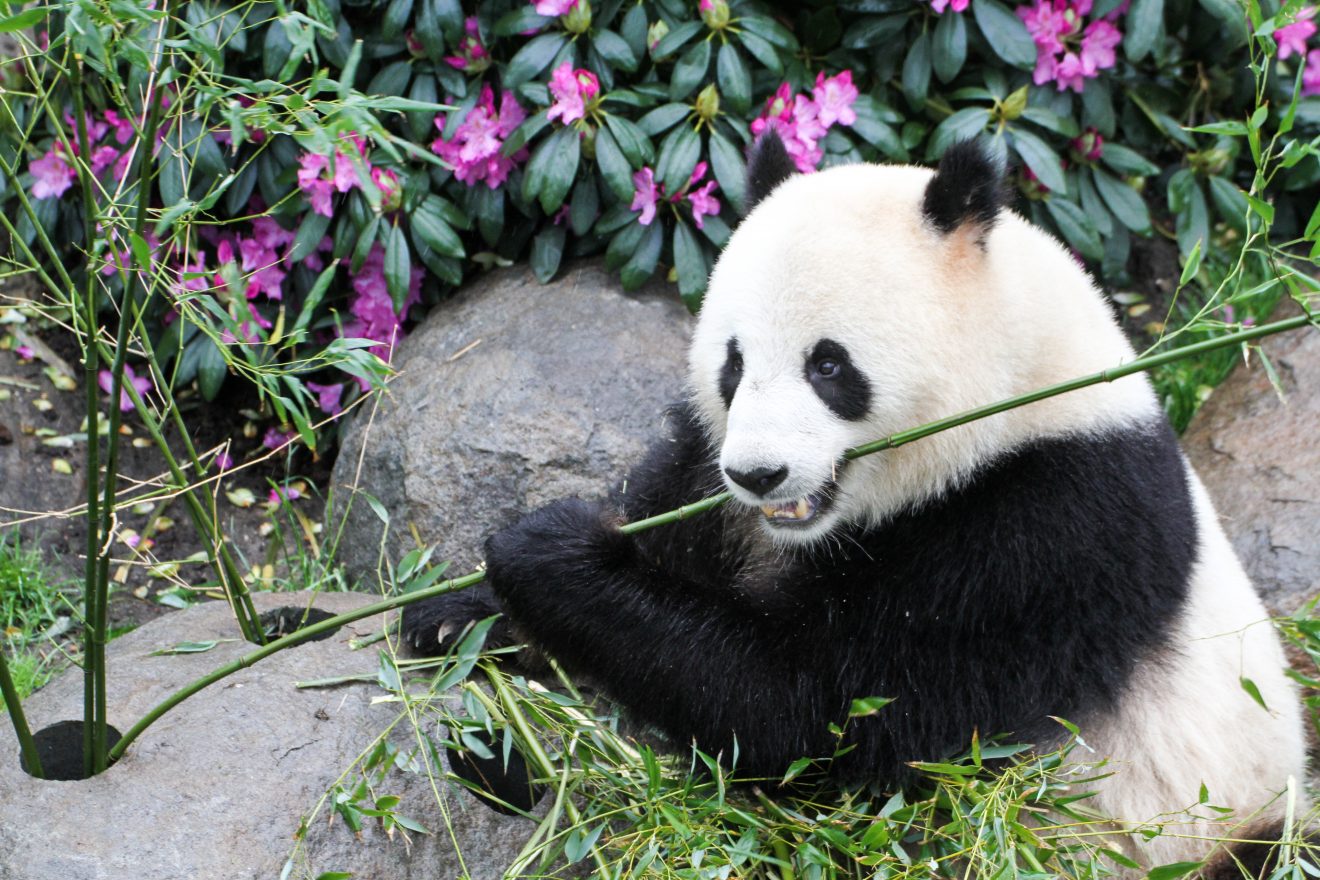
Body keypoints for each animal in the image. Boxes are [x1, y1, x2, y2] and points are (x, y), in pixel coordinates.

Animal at [403, 130, 1309, 876]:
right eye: (733, 363)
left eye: (829, 366)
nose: (759, 475)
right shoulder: (707, 471)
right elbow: (680, 535)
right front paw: (456, 615)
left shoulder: (1051, 527)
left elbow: (816, 714)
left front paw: (547, 555)